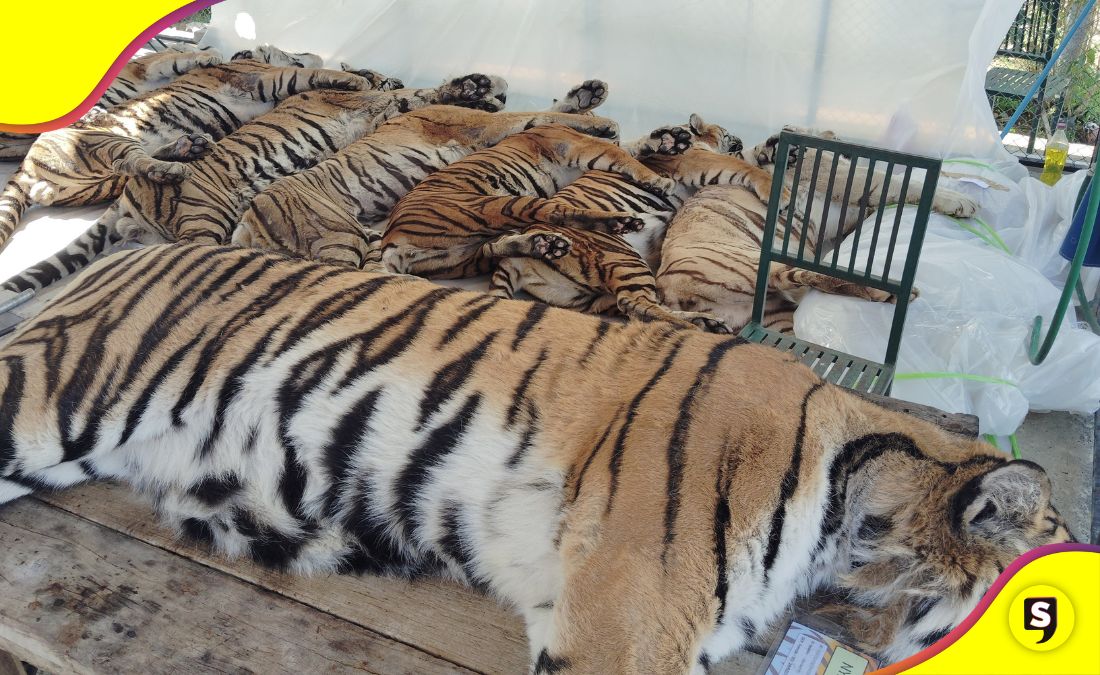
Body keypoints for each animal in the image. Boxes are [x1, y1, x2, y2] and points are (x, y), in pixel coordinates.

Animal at [0, 74, 503, 292]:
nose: (496, 97)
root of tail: (128, 201)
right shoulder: (373, 102)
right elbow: (412, 93)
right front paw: (471, 88)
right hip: (201, 211)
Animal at [229, 79, 616, 268]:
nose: (494, 95)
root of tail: (247, 223)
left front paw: (588, 96)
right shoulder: (485, 124)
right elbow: (537, 114)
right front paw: (603, 122)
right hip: (338, 237)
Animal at [655, 128, 983, 333]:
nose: (775, 144)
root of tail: (666, 290)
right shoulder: (848, 180)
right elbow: (903, 182)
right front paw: (963, 202)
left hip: (774, 312)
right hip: (751, 261)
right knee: (806, 275)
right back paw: (887, 292)